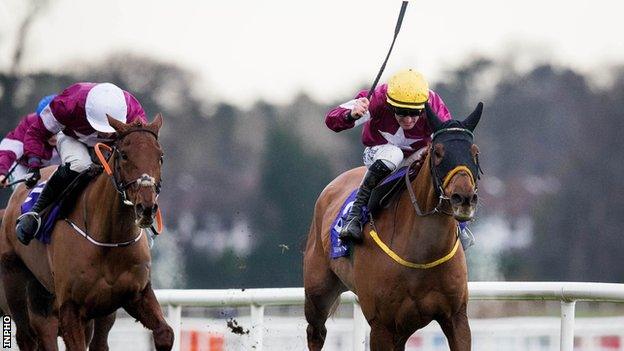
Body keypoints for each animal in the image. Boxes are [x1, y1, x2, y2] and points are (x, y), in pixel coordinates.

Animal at [0, 114, 173, 350]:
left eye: (160, 156)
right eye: (124, 155)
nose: (146, 207)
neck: (110, 239)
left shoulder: (135, 294)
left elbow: (165, 333)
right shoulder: (70, 308)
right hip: (16, 283)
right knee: (28, 337)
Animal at [304, 103, 486, 350]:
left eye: (474, 153)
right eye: (438, 153)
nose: (464, 197)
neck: (422, 253)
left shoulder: (456, 318)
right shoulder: (381, 325)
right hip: (318, 294)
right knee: (316, 332)